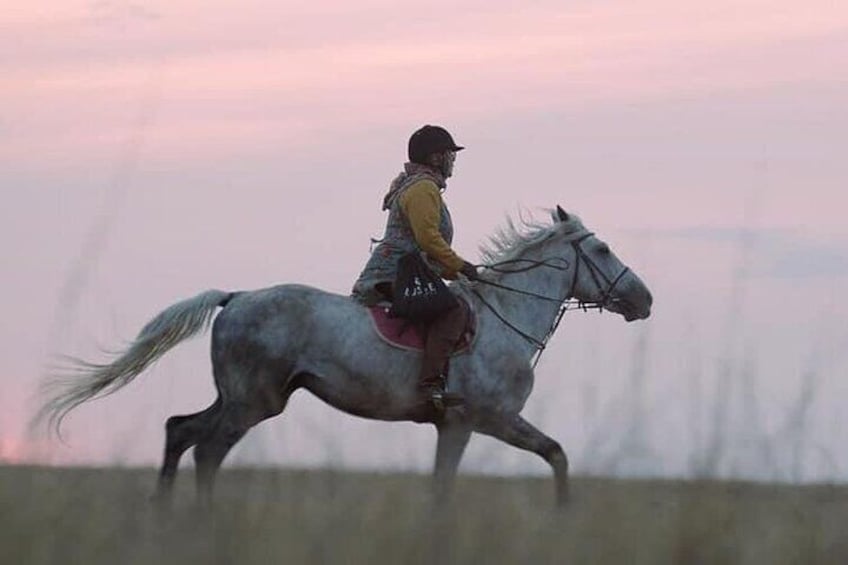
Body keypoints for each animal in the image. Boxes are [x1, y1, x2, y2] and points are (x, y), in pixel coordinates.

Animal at [39, 208, 652, 506]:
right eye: (601, 249)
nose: (644, 299)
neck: (505, 315)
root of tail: (235, 298)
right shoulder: (484, 420)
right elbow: (555, 456)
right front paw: (564, 516)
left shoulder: (455, 427)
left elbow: (453, 484)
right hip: (253, 402)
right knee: (207, 449)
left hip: (244, 396)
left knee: (179, 430)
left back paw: (165, 516)